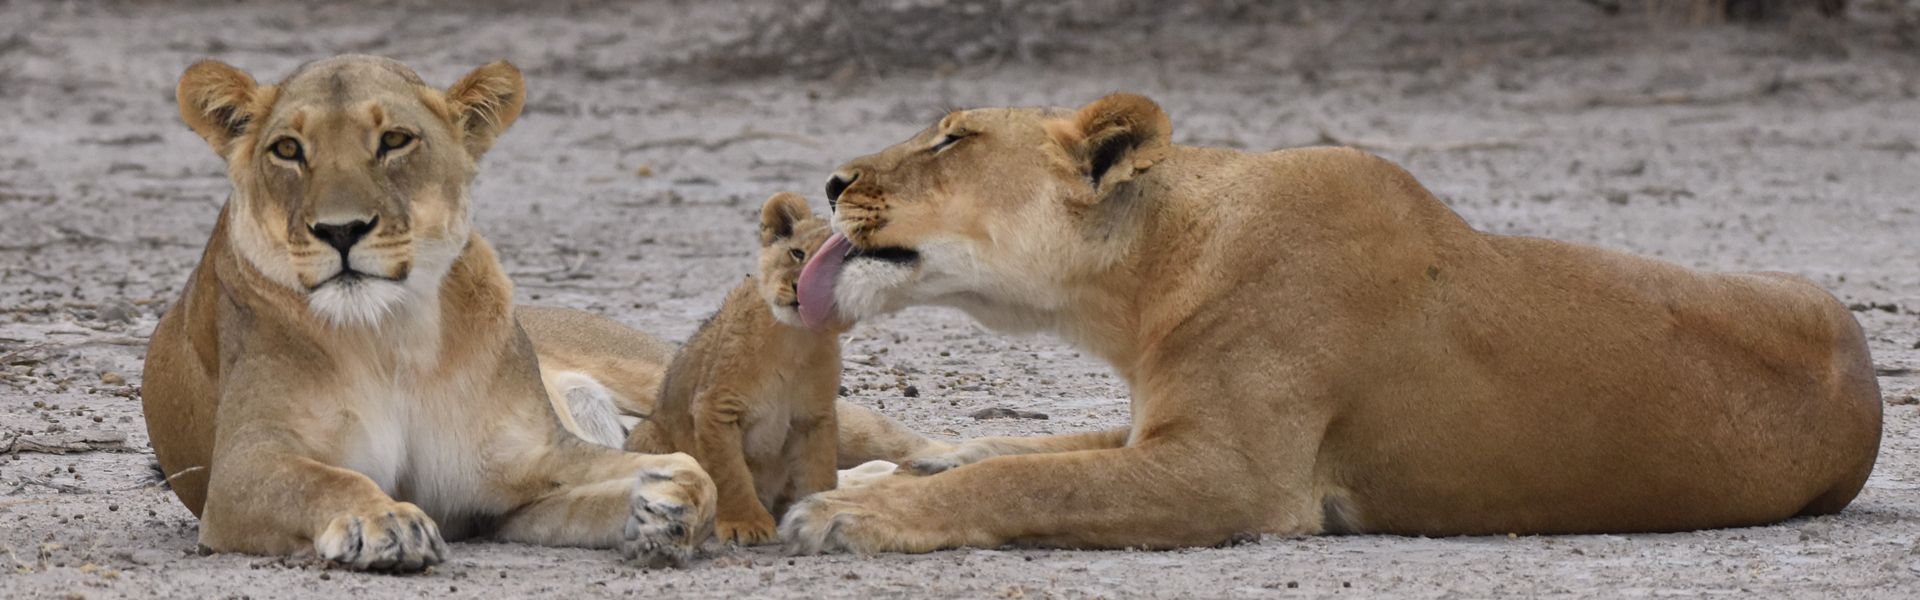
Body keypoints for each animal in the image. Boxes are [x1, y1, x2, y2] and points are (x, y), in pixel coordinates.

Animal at [141, 55, 720, 570]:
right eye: (287, 149)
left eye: (395, 140)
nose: (341, 230)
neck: (392, 335)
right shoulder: (240, 470)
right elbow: (325, 479)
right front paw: (383, 522)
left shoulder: (533, 462)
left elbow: (692, 470)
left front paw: (663, 510)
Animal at [777, 93, 1884, 554]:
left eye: (953, 139)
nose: (827, 181)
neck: (1142, 281)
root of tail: (1869, 372)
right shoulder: (1162, 426)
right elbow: (1025, 447)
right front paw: (879, 475)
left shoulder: (1234, 475)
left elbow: (1031, 478)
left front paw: (849, 513)